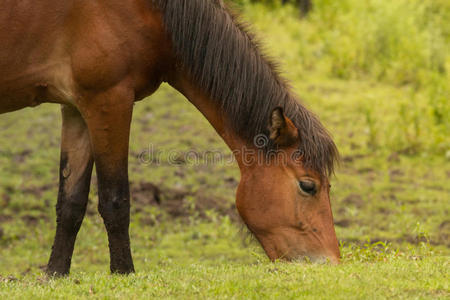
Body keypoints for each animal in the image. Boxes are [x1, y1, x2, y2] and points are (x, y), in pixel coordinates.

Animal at [0, 0, 338, 276]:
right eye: (308, 186)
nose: (330, 262)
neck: (153, 13)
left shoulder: (76, 108)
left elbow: (70, 202)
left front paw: (55, 275)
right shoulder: (109, 100)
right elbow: (115, 199)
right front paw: (123, 274)